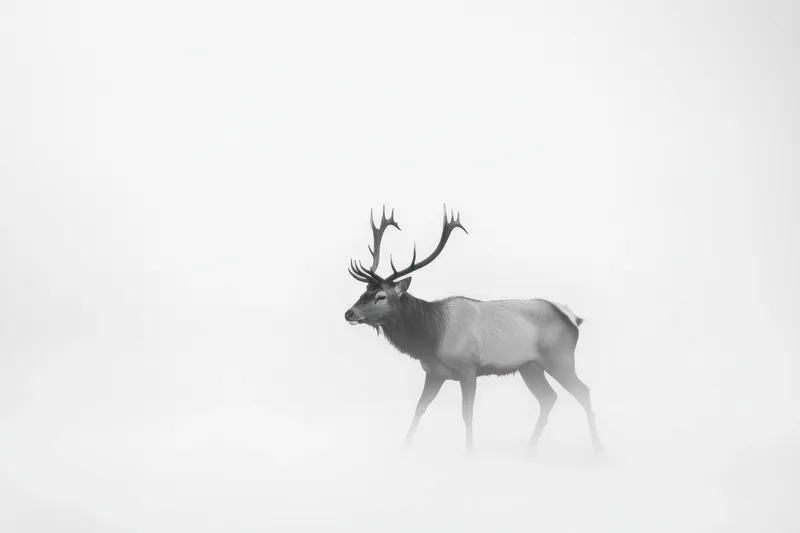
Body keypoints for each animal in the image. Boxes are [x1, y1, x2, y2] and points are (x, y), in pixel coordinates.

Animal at [344, 205, 602, 454]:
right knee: (549, 397)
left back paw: (597, 447)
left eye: (381, 296)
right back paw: (529, 450)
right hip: (530, 366)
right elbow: (419, 409)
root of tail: (572, 318)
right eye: (364, 291)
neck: (430, 338)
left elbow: (466, 413)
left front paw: (470, 451)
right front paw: (403, 448)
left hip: (560, 359)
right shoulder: (433, 372)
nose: (349, 313)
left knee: (584, 391)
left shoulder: (468, 368)